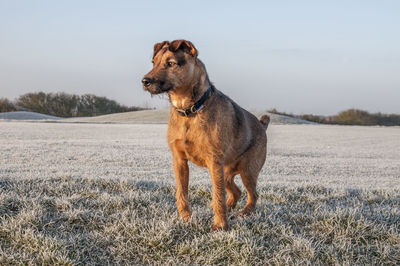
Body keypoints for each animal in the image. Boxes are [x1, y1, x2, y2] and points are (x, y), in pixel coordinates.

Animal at [141, 40, 268, 231]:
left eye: (170, 63)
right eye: (153, 62)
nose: (144, 81)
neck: (189, 111)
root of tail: (262, 125)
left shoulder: (214, 162)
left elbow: (218, 194)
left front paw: (220, 226)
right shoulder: (179, 161)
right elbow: (182, 192)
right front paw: (185, 218)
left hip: (247, 171)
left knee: (252, 195)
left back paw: (244, 213)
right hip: (226, 172)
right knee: (236, 192)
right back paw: (228, 207)